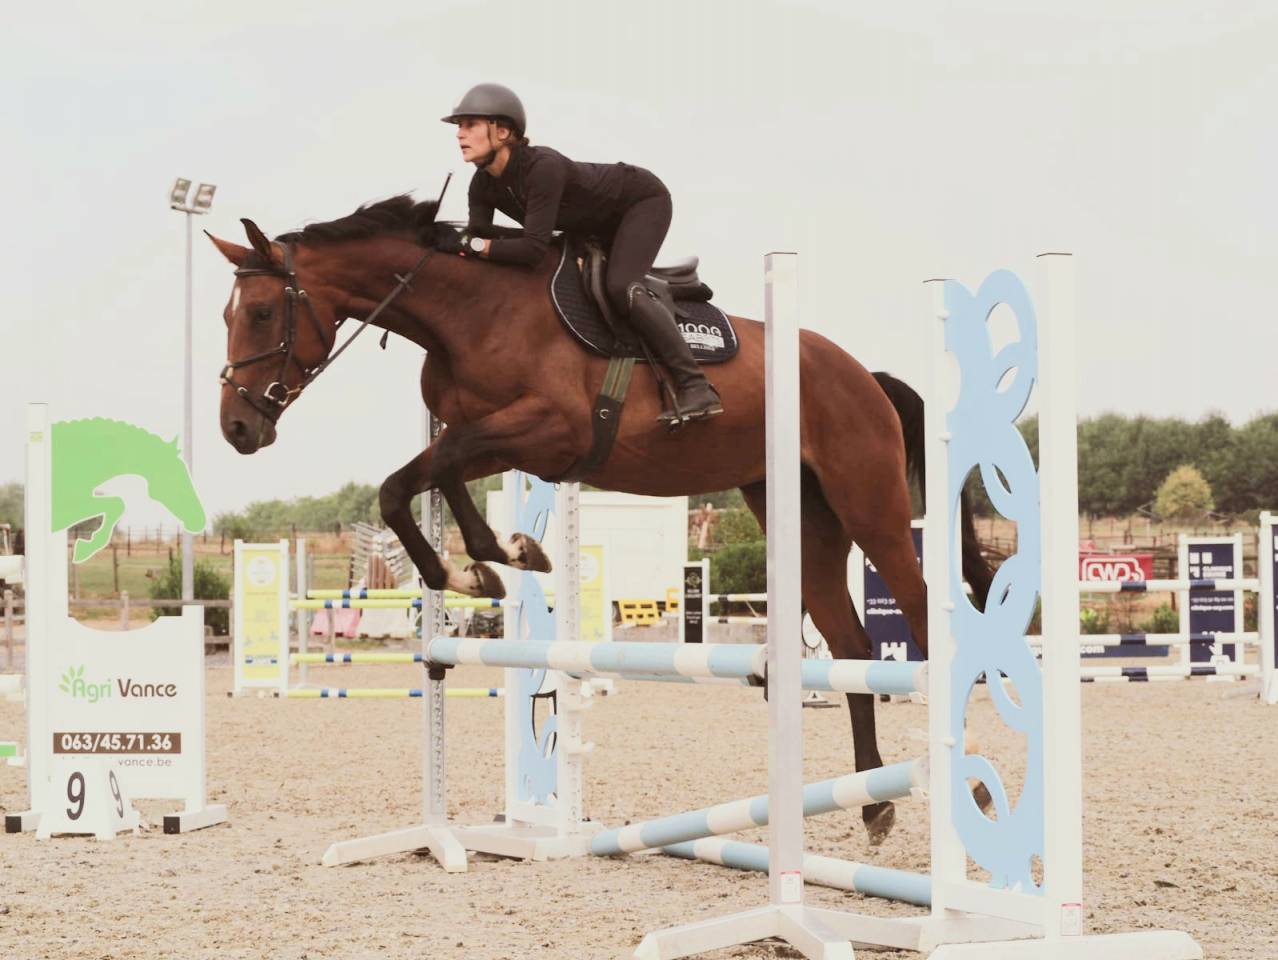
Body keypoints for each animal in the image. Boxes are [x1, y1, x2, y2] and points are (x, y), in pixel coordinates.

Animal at [209, 195, 992, 844]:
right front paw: (495, 563)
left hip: (869, 500)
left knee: (924, 613)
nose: (238, 429)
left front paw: (474, 565)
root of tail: (866, 375)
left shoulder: (546, 429)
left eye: (260, 313)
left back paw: (964, 786)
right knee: (850, 640)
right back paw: (875, 801)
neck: (471, 310)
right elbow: (425, 481)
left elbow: (415, 478)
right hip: (798, 514)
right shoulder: (489, 435)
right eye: (227, 316)